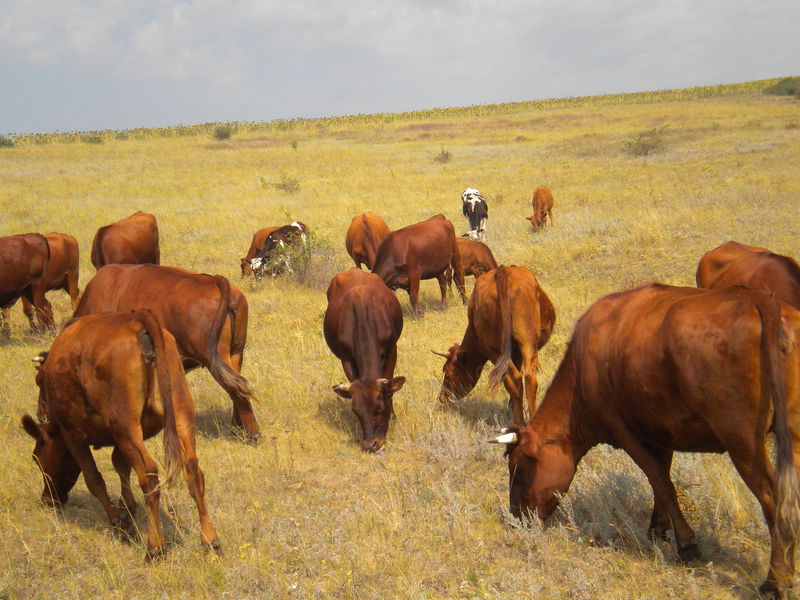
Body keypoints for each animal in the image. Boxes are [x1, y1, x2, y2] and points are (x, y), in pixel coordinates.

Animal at [22, 312, 222, 560]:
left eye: (36, 458)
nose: (47, 499)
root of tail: (138, 321)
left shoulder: (73, 433)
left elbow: (94, 478)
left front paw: (119, 522)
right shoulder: (120, 438)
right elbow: (120, 465)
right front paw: (127, 507)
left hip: (125, 425)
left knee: (149, 476)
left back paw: (155, 547)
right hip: (180, 412)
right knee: (192, 470)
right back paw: (210, 540)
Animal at [324, 270, 406, 452]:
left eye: (380, 408)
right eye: (356, 412)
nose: (371, 444)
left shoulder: (392, 350)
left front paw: (394, 417)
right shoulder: (346, 359)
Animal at [432, 264, 556, 424]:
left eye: (446, 373)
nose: (442, 397)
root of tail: (502, 271)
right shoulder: (516, 353)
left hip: (500, 349)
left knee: (518, 380)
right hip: (524, 343)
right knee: (526, 379)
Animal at [488, 284, 800, 596]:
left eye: (520, 471)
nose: (516, 520)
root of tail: (759, 300)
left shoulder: (624, 432)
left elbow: (660, 481)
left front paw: (686, 545)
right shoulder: (661, 431)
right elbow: (662, 480)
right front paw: (657, 529)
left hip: (742, 440)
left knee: (774, 499)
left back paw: (775, 580)